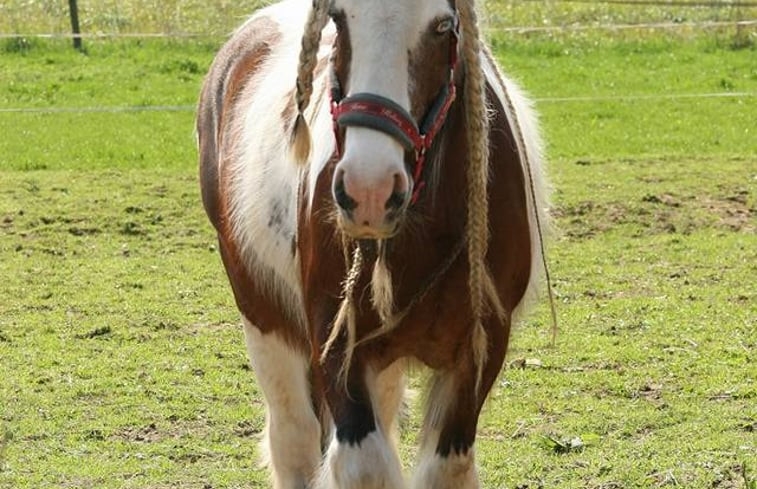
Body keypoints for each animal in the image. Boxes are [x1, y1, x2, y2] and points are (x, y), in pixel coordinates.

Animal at [196, 0, 548, 484]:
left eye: (443, 26)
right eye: (338, 20)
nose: (369, 191)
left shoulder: (481, 351)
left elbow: (447, 468)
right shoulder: (335, 342)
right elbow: (364, 467)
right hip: (264, 319)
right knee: (294, 437)